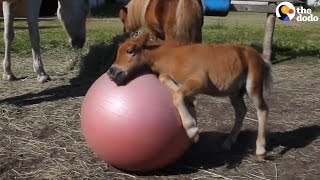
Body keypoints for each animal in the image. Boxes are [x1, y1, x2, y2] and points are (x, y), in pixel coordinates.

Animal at [107, 33, 272, 160]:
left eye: (130, 51)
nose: (111, 72)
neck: (171, 55)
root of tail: (260, 57)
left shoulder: (200, 81)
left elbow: (177, 95)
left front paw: (192, 130)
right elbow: (165, 79)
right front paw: (191, 100)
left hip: (253, 85)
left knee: (262, 109)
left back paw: (260, 149)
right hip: (234, 92)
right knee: (241, 110)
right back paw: (228, 142)